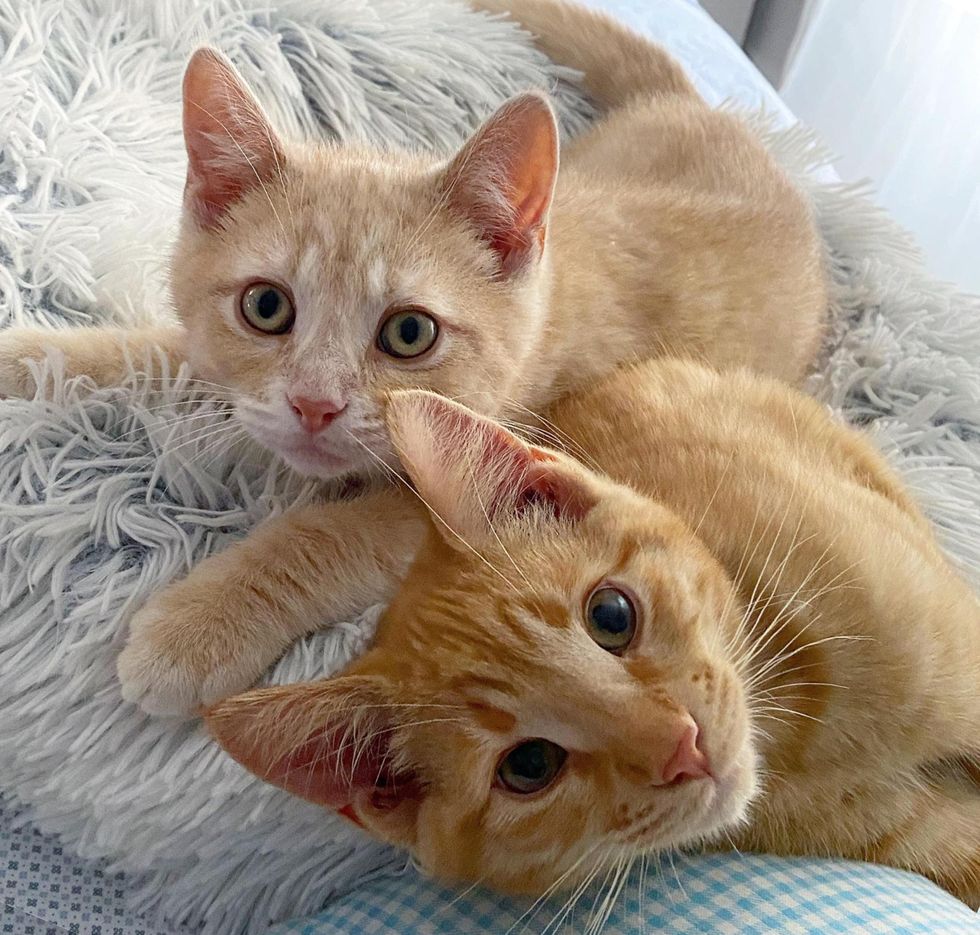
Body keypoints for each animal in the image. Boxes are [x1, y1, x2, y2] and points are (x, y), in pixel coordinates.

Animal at [0, 1, 828, 716]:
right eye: (265, 306)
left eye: (409, 334)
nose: (315, 403)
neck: (545, 321)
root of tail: (717, 116)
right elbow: (150, 349)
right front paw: (30, 358)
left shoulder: (543, 482)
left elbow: (334, 533)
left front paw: (198, 626)